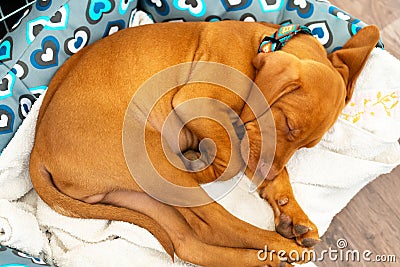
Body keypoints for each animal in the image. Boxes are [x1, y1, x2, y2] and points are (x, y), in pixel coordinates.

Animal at [28, 21, 378, 267]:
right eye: (289, 124)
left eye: (307, 146)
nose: (265, 177)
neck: (262, 45)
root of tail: (37, 151)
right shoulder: (194, 102)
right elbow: (236, 158)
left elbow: (262, 160)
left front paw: (290, 210)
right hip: (153, 159)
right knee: (221, 225)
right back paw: (280, 248)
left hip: (134, 192)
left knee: (190, 240)